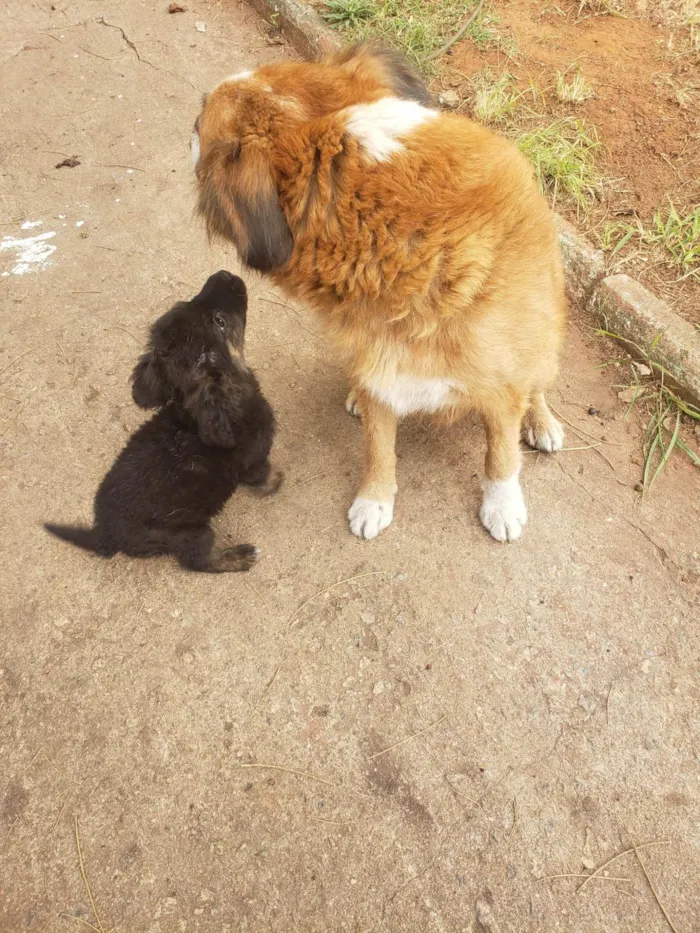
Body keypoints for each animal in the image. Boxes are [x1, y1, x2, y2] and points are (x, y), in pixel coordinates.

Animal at [44, 270, 282, 572]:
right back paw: (235, 557)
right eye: (219, 321)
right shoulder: (253, 462)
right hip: (193, 532)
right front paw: (274, 483)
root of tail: (103, 534)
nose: (224, 274)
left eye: (187, 301)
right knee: (196, 561)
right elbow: (262, 476)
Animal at [194, 45, 568, 540]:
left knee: (537, 388)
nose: (190, 119)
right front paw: (374, 500)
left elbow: (501, 455)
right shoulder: (379, 372)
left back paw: (542, 422)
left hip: (544, 350)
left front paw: (503, 506)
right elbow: (378, 450)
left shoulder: (502, 387)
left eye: (202, 122)